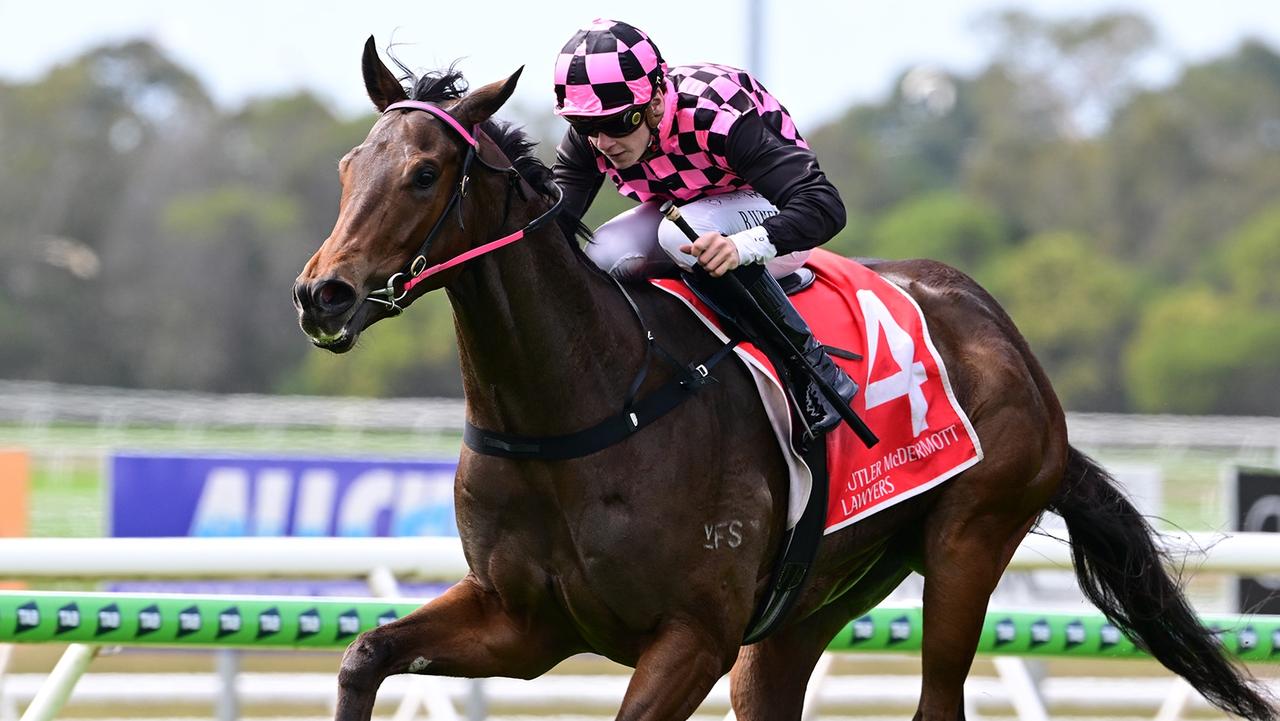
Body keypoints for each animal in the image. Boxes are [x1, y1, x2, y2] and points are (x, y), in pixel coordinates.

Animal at [293, 39, 1280, 721]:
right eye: (347, 166)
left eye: (424, 173)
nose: (321, 293)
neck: (585, 405)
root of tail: (1014, 348)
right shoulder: (523, 621)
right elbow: (364, 654)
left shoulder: (692, 636)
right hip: (813, 600)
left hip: (970, 540)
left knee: (939, 696)